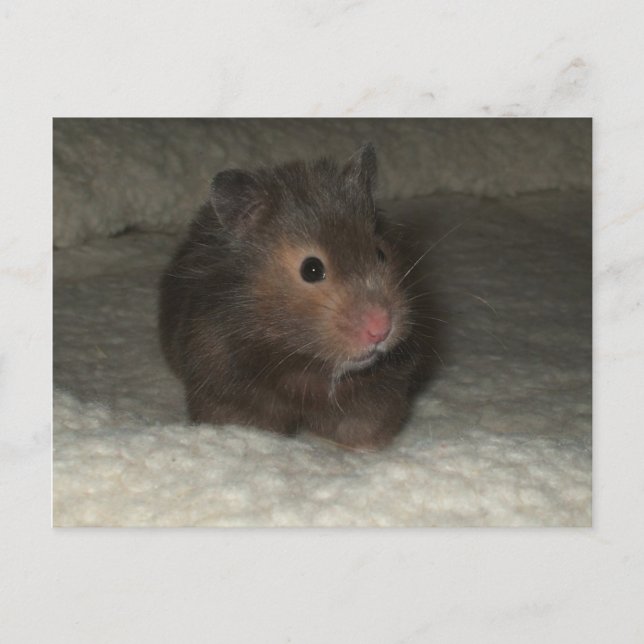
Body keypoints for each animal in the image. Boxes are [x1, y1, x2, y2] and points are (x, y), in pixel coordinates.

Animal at [158, 144, 426, 450]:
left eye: (380, 254)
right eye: (312, 269)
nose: (380, 329)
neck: (304, 363)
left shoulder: (374, 398)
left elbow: (362, 427)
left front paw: (364, 447)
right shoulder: (224, 386)